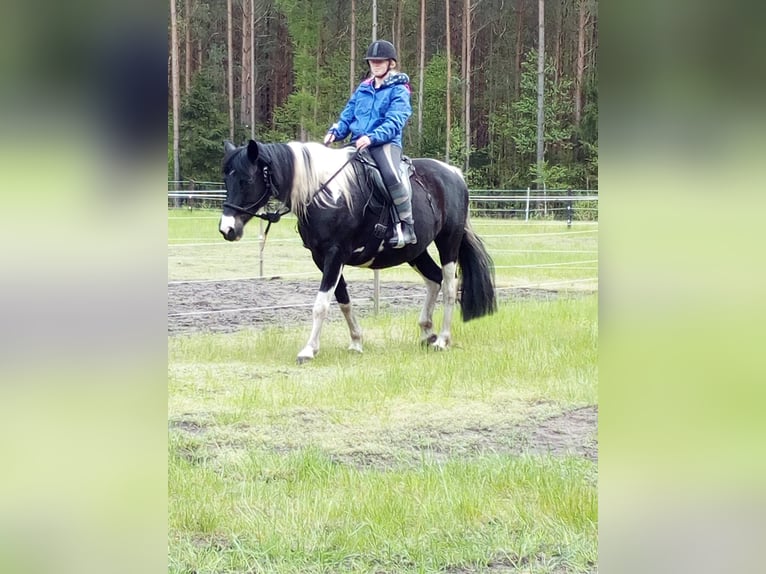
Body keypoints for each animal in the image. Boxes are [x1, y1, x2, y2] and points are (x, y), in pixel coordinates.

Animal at [218, 139, 496, 364]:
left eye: (246, 180)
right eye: (226, 180)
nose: (226, 229)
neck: (327, 195)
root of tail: (454, 174)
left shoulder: (335, 255)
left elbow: (321, 304)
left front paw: (308, 350)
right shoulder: (322, 258)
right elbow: (343, 300)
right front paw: (356, 342)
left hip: (448, 242)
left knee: (449, 286)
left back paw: (443, 340)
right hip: (415, 252)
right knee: (434, 280)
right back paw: (427, 332)